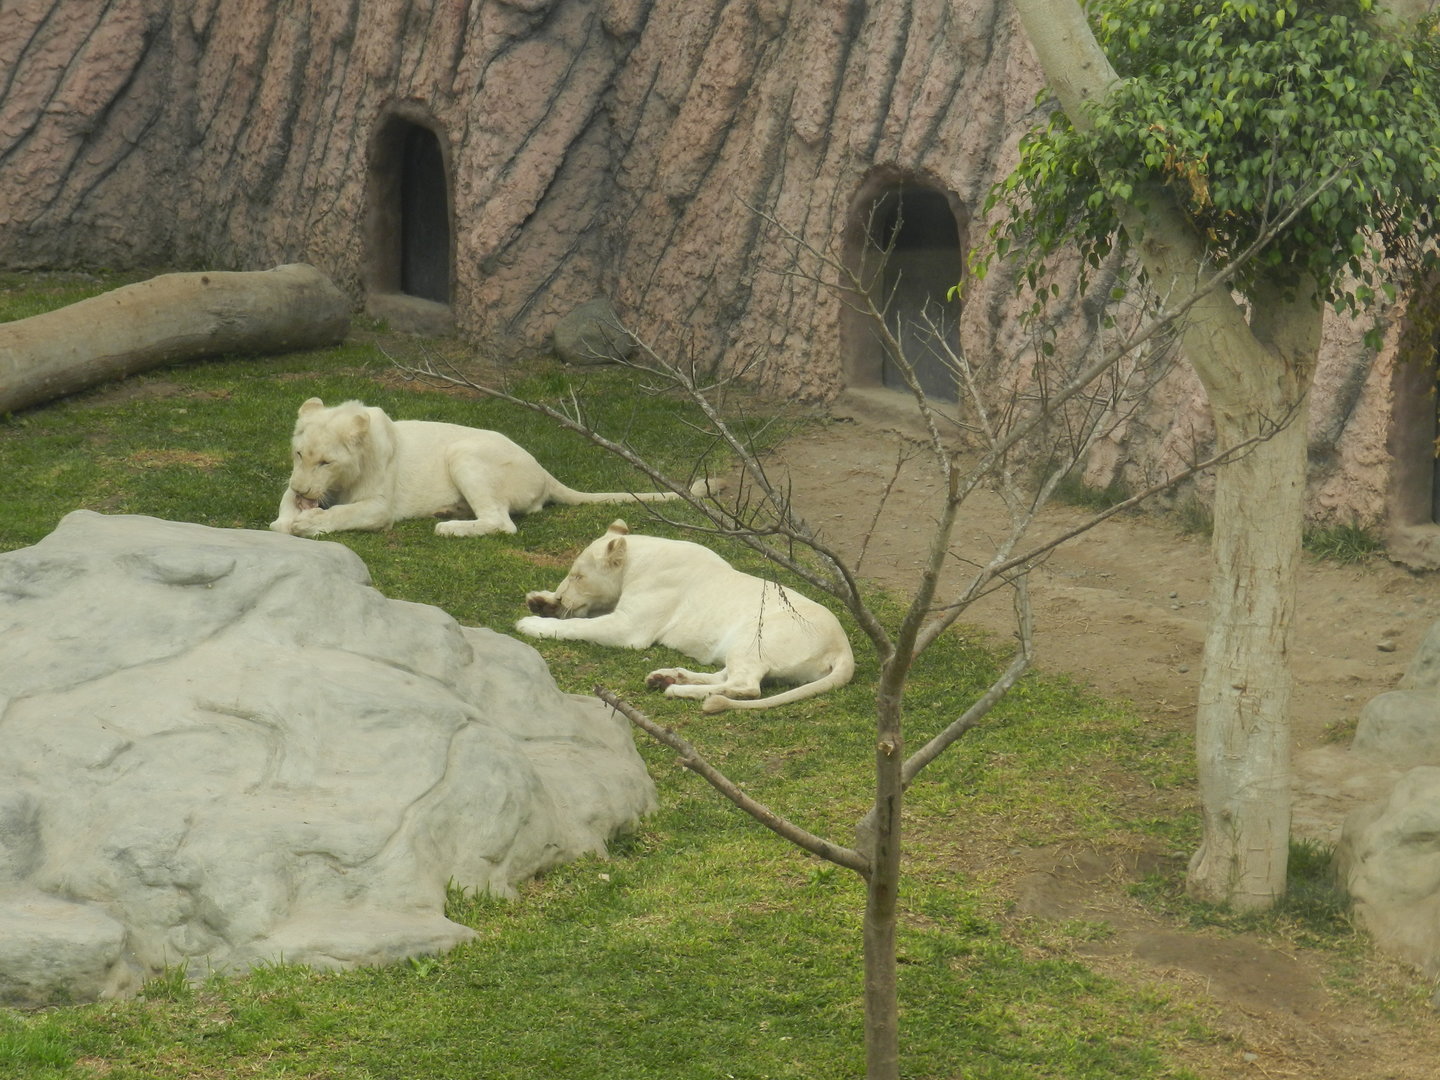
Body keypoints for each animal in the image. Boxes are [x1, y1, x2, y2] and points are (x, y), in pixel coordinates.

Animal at [270, 398, 699, 538]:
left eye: (326, 461)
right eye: (299, 454)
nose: (305, 491)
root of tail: (543, 472)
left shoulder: (380, 507)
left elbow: (346, 514)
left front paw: (308, 524)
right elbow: (281, 511)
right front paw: (289, 519)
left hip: (465, 454)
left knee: (501, 523)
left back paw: (449, 527)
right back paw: (451, 511)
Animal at [516, 520, 855, 713]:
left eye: (578, 576)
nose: (562, 597)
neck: (637, 559)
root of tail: (843, 648)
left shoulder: (629, 628)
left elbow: (578, 625)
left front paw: (533, 622)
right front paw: (541, 601)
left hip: (754, 638)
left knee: (746, 686)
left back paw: (676, 688)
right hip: (741, 647)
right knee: (728, 676)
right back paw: (667, 676)